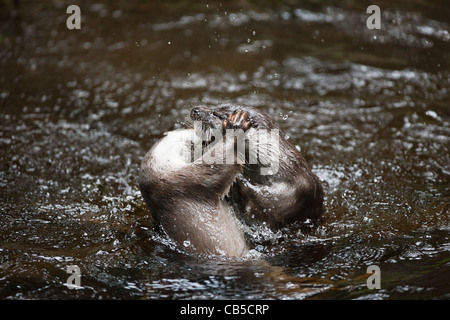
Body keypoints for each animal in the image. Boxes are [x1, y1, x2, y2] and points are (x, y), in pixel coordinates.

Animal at [138, 104, 324, 258]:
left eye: (217, 114)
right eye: (214, 106)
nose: (195, 110)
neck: (287, 171)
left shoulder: (295, 193)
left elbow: (267, 207)